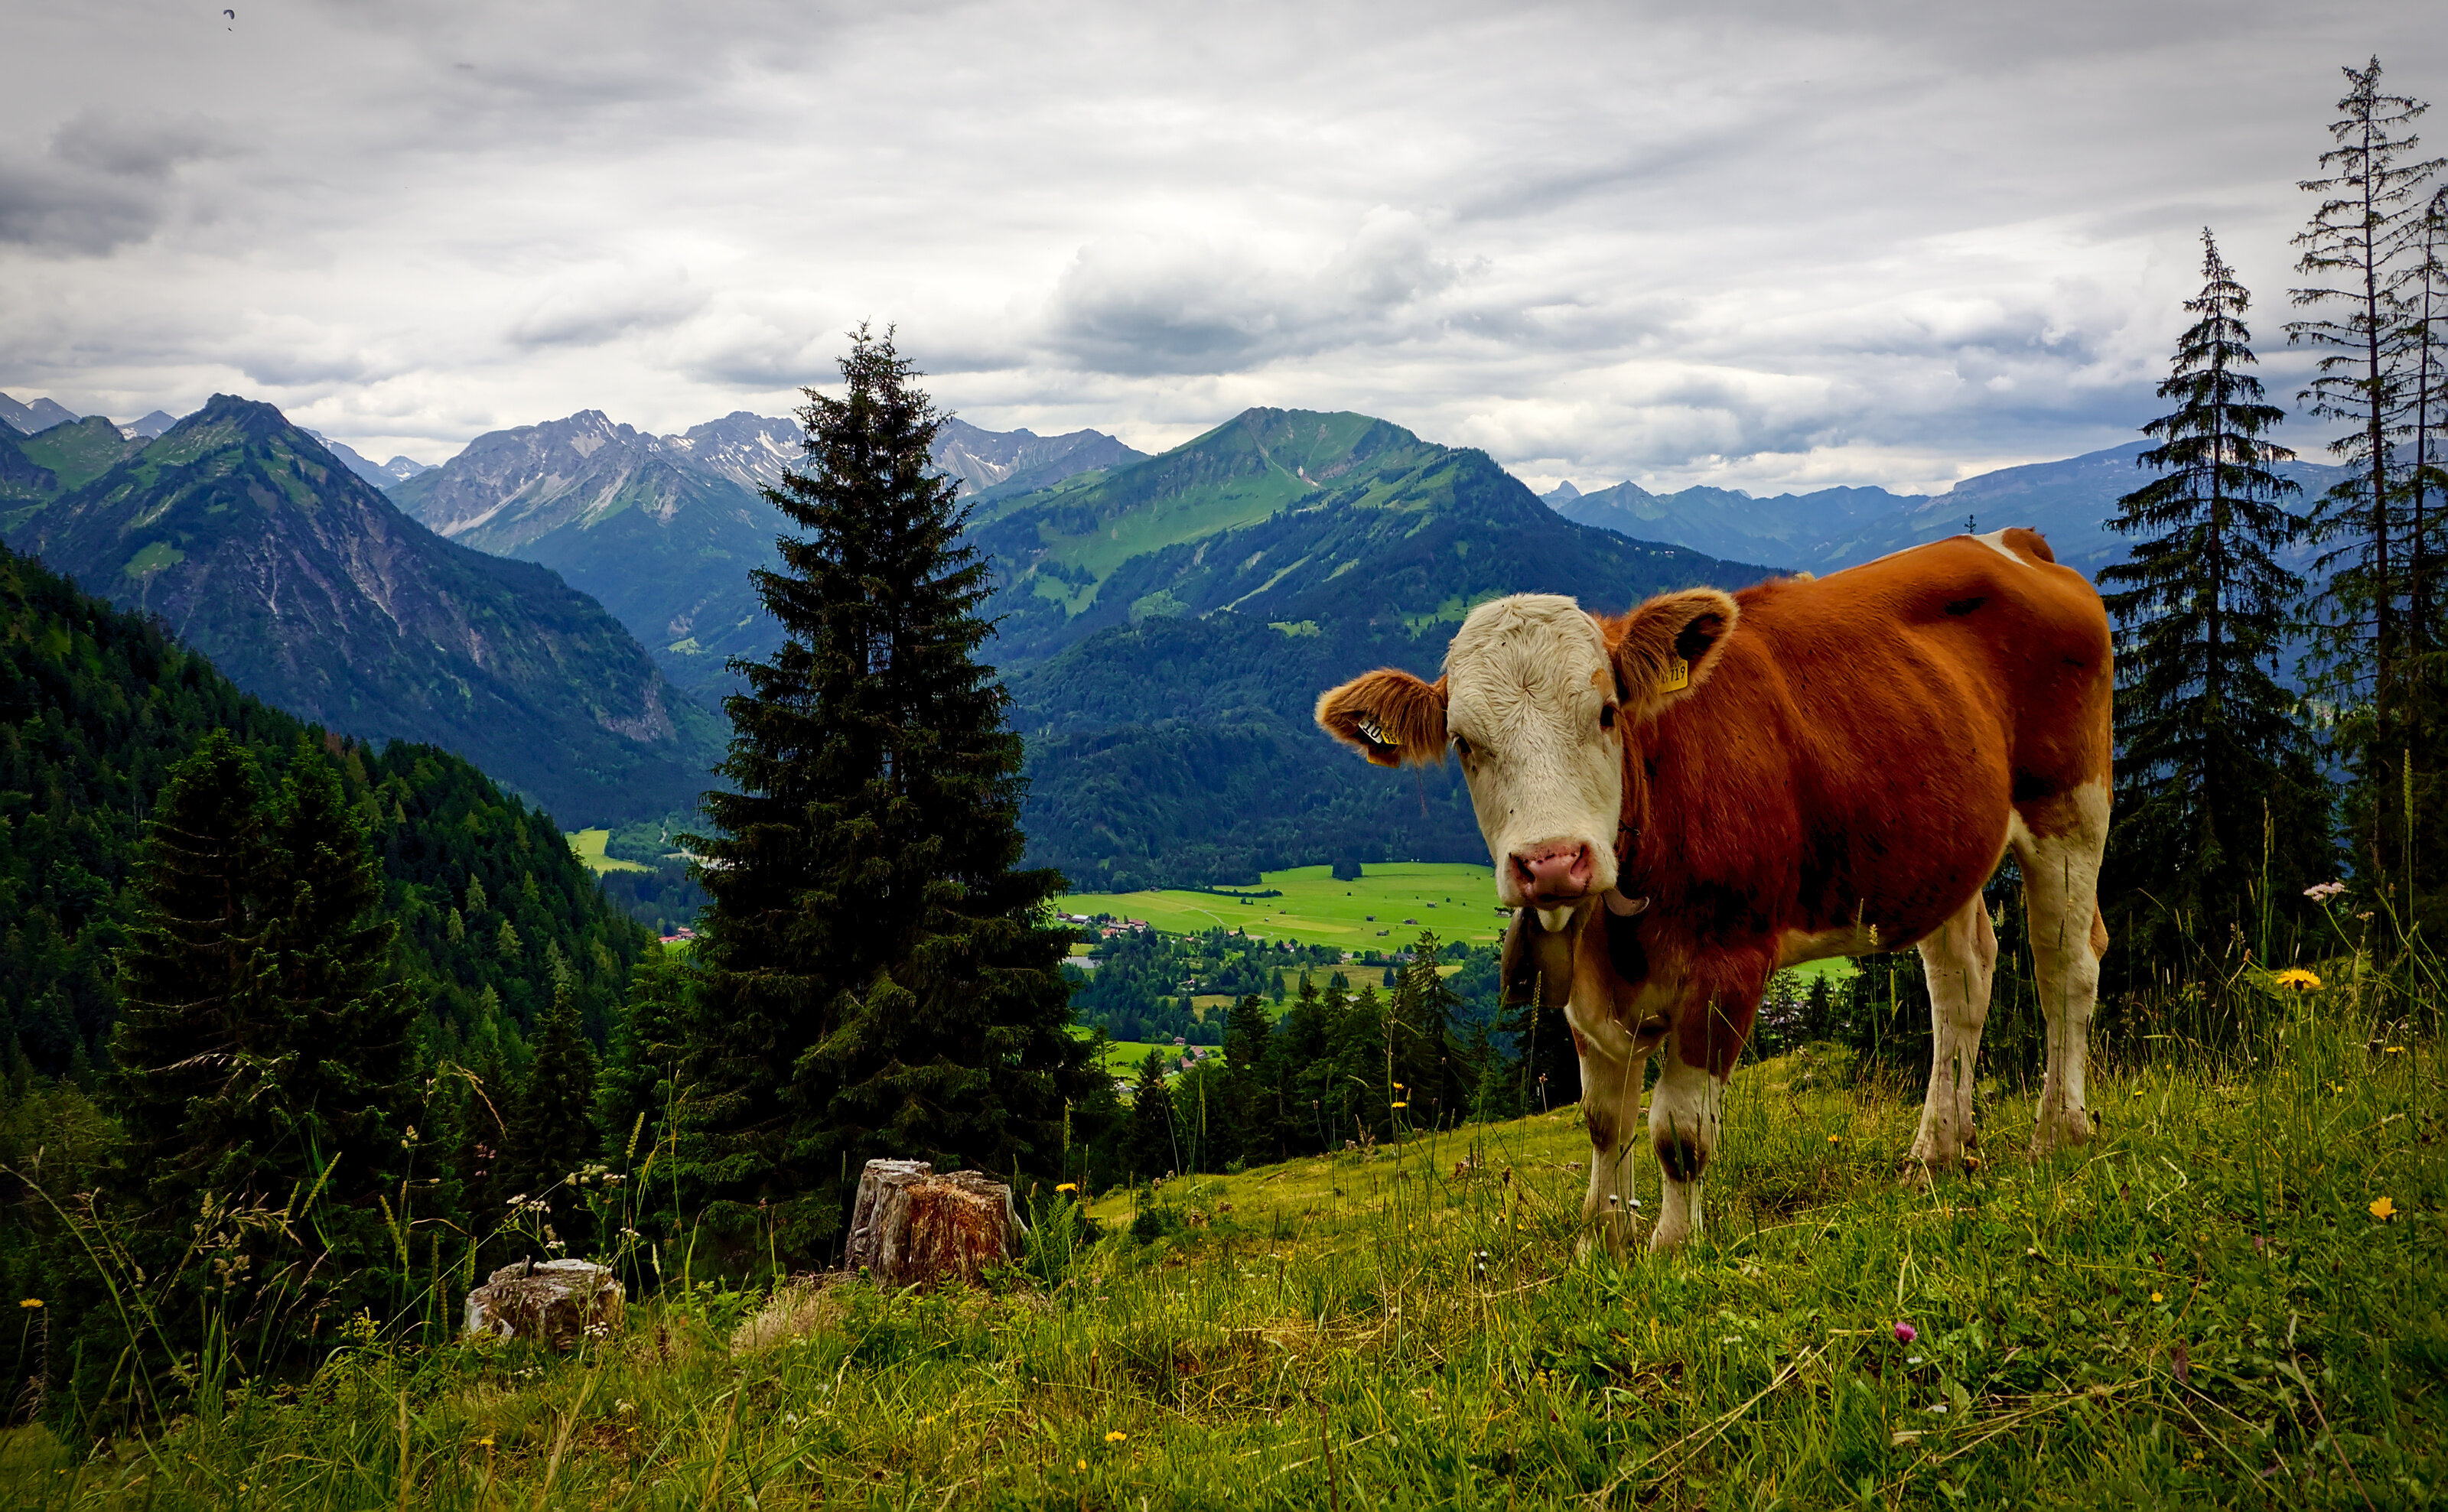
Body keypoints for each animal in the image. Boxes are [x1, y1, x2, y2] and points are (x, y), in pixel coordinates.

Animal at [1315, 529, 2111, 1253]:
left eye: (1607, 712)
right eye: (1463, 742)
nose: (1552, 862)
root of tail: (2013, 543)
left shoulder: (1730, 962)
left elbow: (1679, 1127)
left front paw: (1672, 1245)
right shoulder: (1584, 990)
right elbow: (1604, 1118)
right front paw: (1602, 1240)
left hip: (2070, 807)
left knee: (2065, 966)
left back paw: (2057, 1132)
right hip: (1945, 847)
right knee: (1963, 979)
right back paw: (1936, 1152)